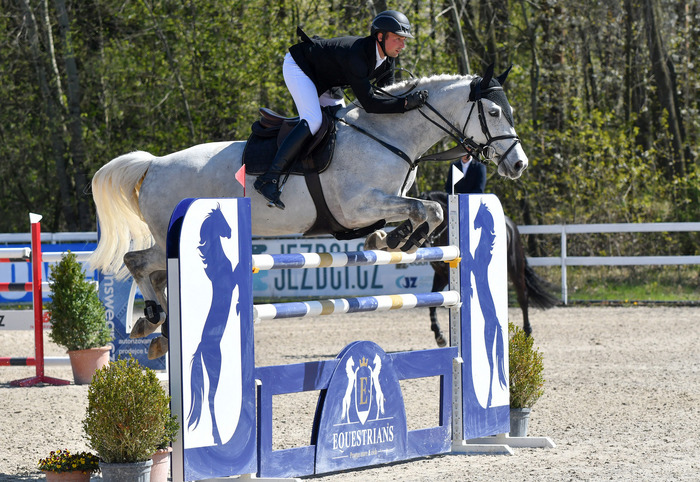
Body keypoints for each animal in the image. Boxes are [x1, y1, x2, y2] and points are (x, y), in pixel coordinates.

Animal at [89, 66, 529, 359]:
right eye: (493, 113)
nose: (518, 164)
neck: (386, 135)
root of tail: (153, 164)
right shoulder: (357, 206)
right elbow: (428, 208)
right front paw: (402, 239)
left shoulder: (382, 203)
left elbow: (424, 212)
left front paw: (395, 240)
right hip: (171, 235)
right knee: (136, 261)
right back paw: (151, 318)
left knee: (152, 271)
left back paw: (158, 330)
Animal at [419, 191, 558, 347]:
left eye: (431, 220)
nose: (423, 246)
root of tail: (510, 223)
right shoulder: (441, 275)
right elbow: (432, 301)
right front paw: (439, 336)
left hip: (514, 266)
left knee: (522, 296)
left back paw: (527, 333)